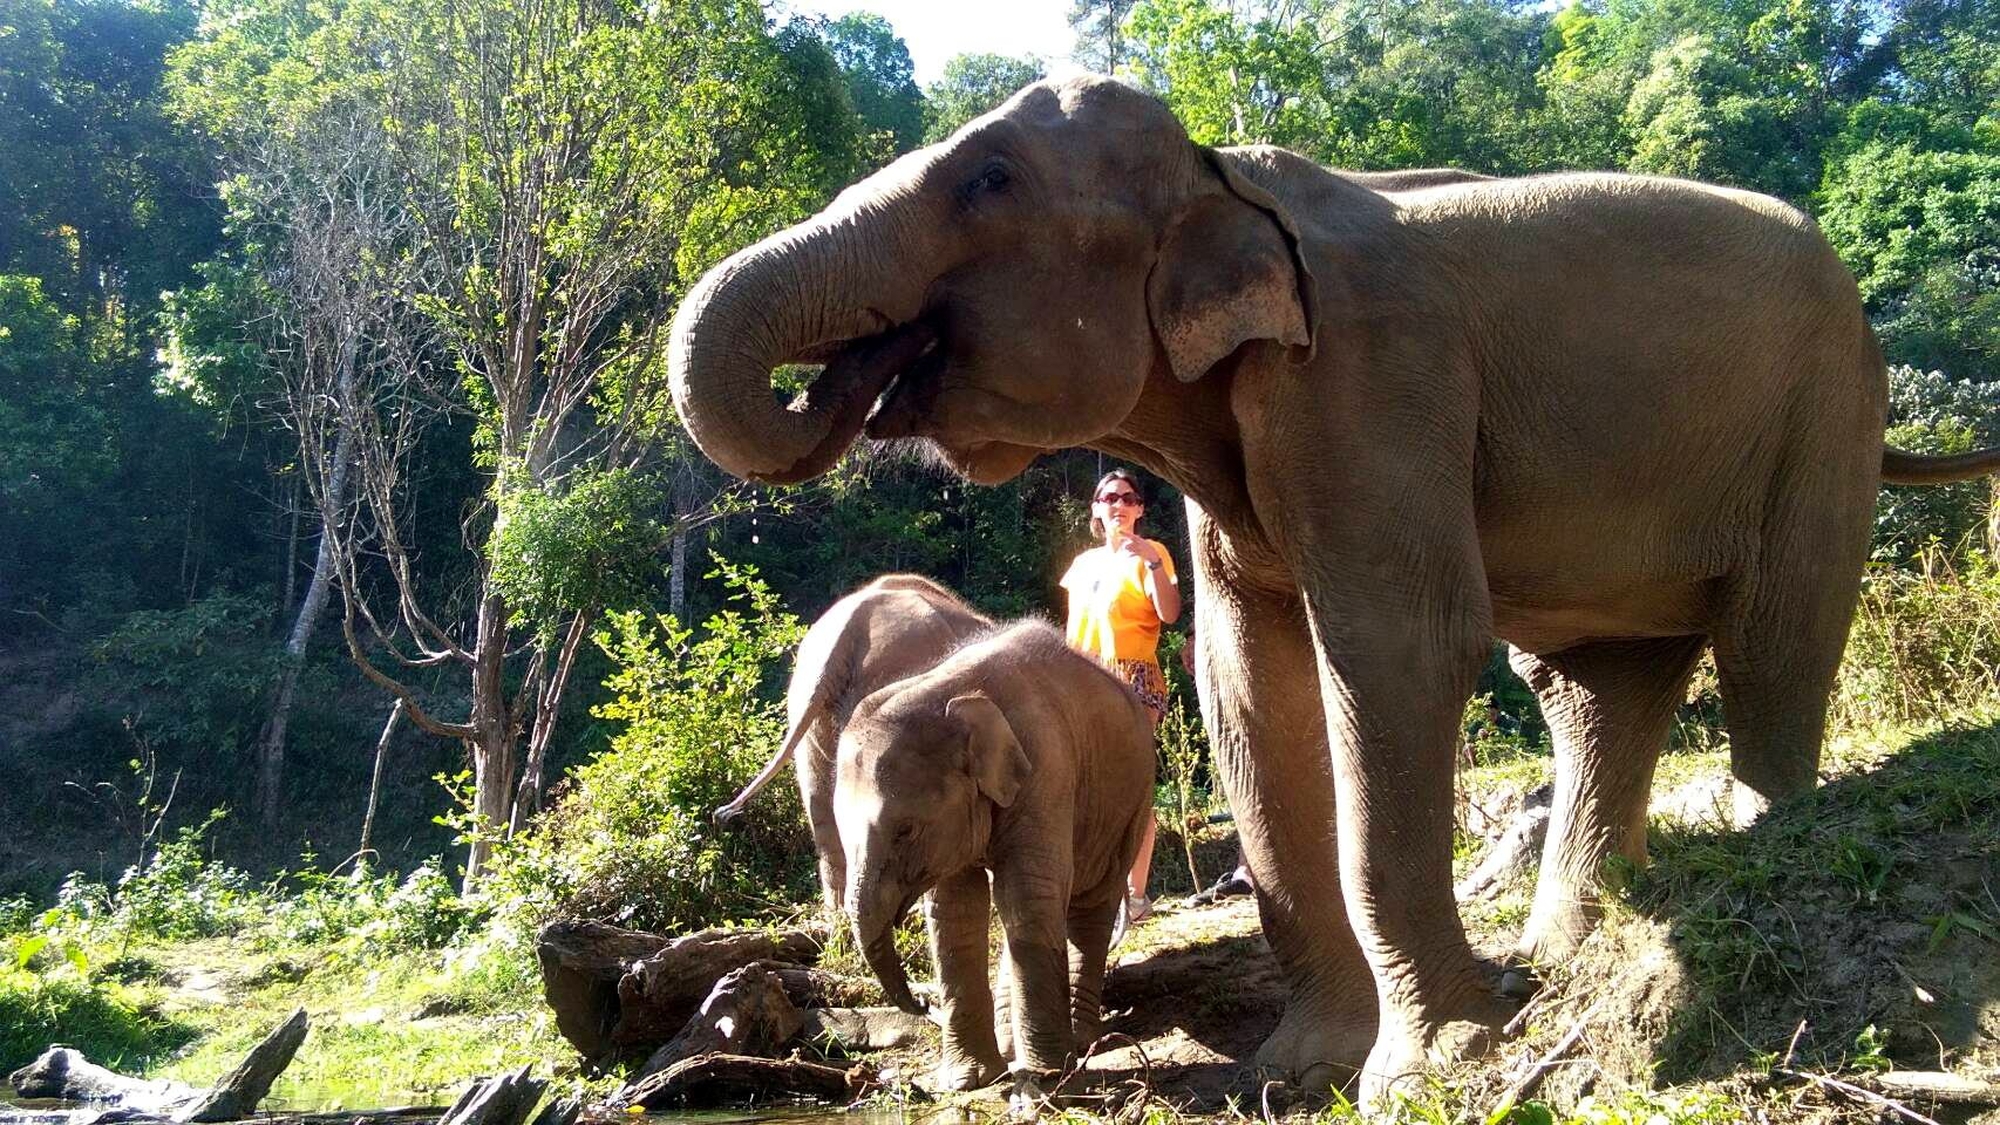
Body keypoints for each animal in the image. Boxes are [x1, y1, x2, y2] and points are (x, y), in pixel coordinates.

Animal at [834, 619, 1156, 1090]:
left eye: (905, 831)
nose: (920, 1005)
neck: (946, 695)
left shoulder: (1046, 767)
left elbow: (1028, 895)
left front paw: (1047, 1080)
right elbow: (954, 912)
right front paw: (967, 1081)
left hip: (1132, 800)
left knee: (1090, 902)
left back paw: (1081, 1041)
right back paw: (1011, 1044)